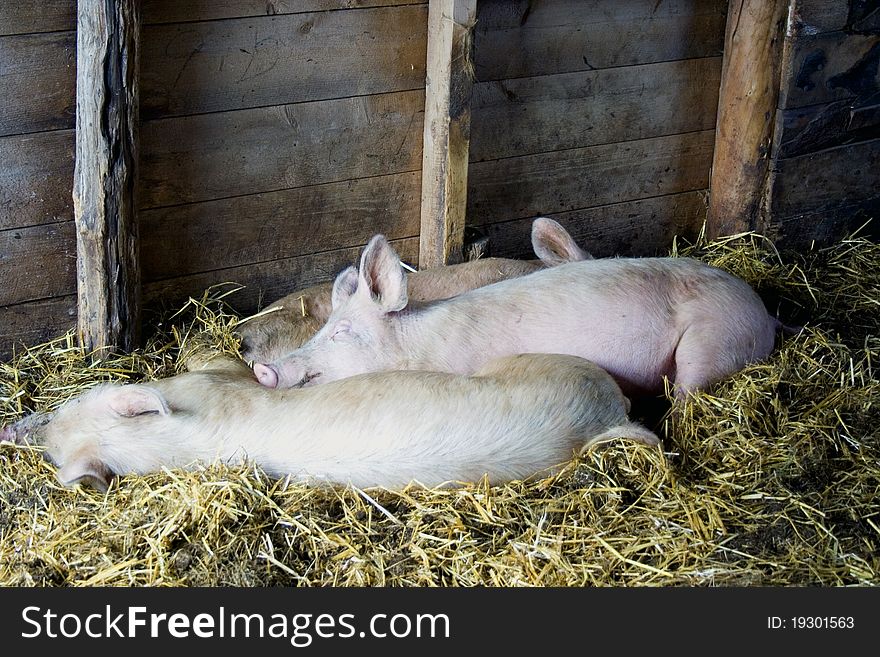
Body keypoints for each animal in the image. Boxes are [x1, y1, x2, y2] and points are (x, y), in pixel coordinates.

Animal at [253, 228, 776, 398]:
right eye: (321, 326)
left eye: (341, 331)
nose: (263, 368)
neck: (418, 346)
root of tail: (765, 313)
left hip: (711, 341)